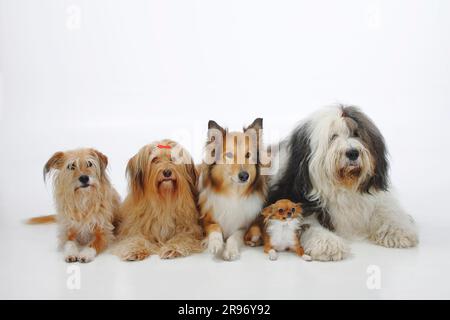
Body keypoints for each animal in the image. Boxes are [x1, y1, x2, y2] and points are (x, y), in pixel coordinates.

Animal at [198, 119, 268, 262]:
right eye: (229, 155)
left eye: (248, 155)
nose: (244, 176)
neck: (234, 193)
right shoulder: (206, 220)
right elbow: (215, 227)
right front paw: (215, 244)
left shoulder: (244, 225)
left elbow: (234, 236)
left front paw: (230, 250)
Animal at [268, 106, 418, 262]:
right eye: (333, 137)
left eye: (356, 134)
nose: (353, 153)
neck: (344, 187)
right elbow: (307, 225)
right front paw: (328, 244)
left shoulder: (375, 198)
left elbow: (387, 210)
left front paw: (398, 230)